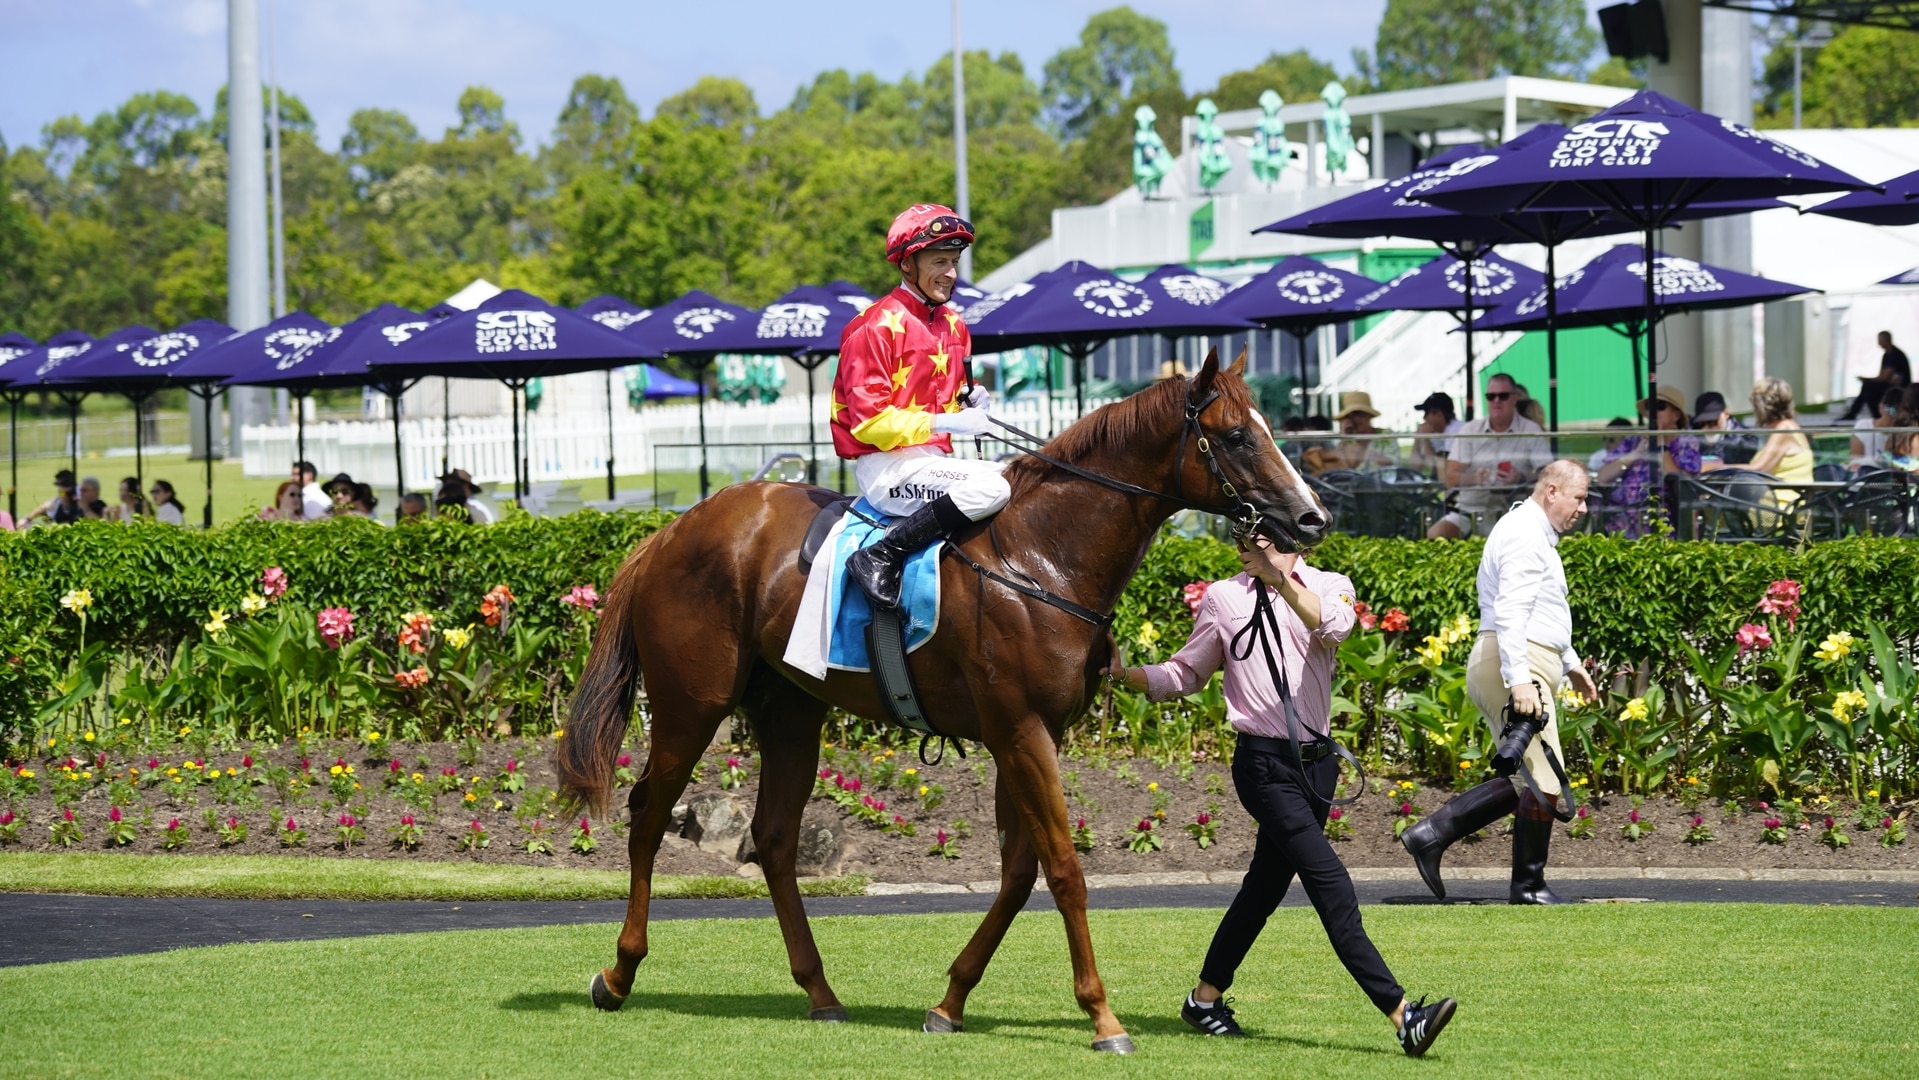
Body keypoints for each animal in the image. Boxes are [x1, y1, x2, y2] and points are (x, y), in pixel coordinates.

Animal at [560, 351, 1327, 1051]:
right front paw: (1103, 1017)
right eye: (1237, 435)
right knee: (647, 815)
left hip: (791, 711)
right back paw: (620, 973)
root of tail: (672, 528)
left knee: (774, 839)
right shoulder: (1019, 730)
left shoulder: (1027, 734)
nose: (1312, 518)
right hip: (692, 704)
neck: (1041, 559)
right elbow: (1064, 869)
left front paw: (951, 1000)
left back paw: (820, 991)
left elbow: (1019, 873)